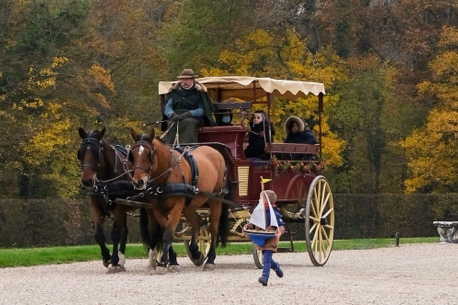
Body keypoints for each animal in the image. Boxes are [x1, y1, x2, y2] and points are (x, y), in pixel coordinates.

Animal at [78, 126, 179, 270]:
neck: (106, 181)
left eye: (97, 151)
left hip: (150, 207)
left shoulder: (119, 206)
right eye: (80, 152)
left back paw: (167, 259)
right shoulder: (96, 205)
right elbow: (99, 234)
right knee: (129, 231)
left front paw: (114, 260)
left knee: (156, 229)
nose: (87, 180)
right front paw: (107, 257)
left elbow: (115, 234)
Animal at [129, 127, 229, 270]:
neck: (166, 176)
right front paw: (171, 260)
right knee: (197, 222)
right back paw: (195, 251)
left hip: (216, 198)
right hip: (189, 205)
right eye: (132, 154)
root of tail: (215, 151)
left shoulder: (176, 207)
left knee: (214, 228)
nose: (138, 181)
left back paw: (210, 260)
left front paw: (165, 261)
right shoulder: (157, 208)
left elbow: (168, 234)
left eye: (149, 154)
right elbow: (165, 231)